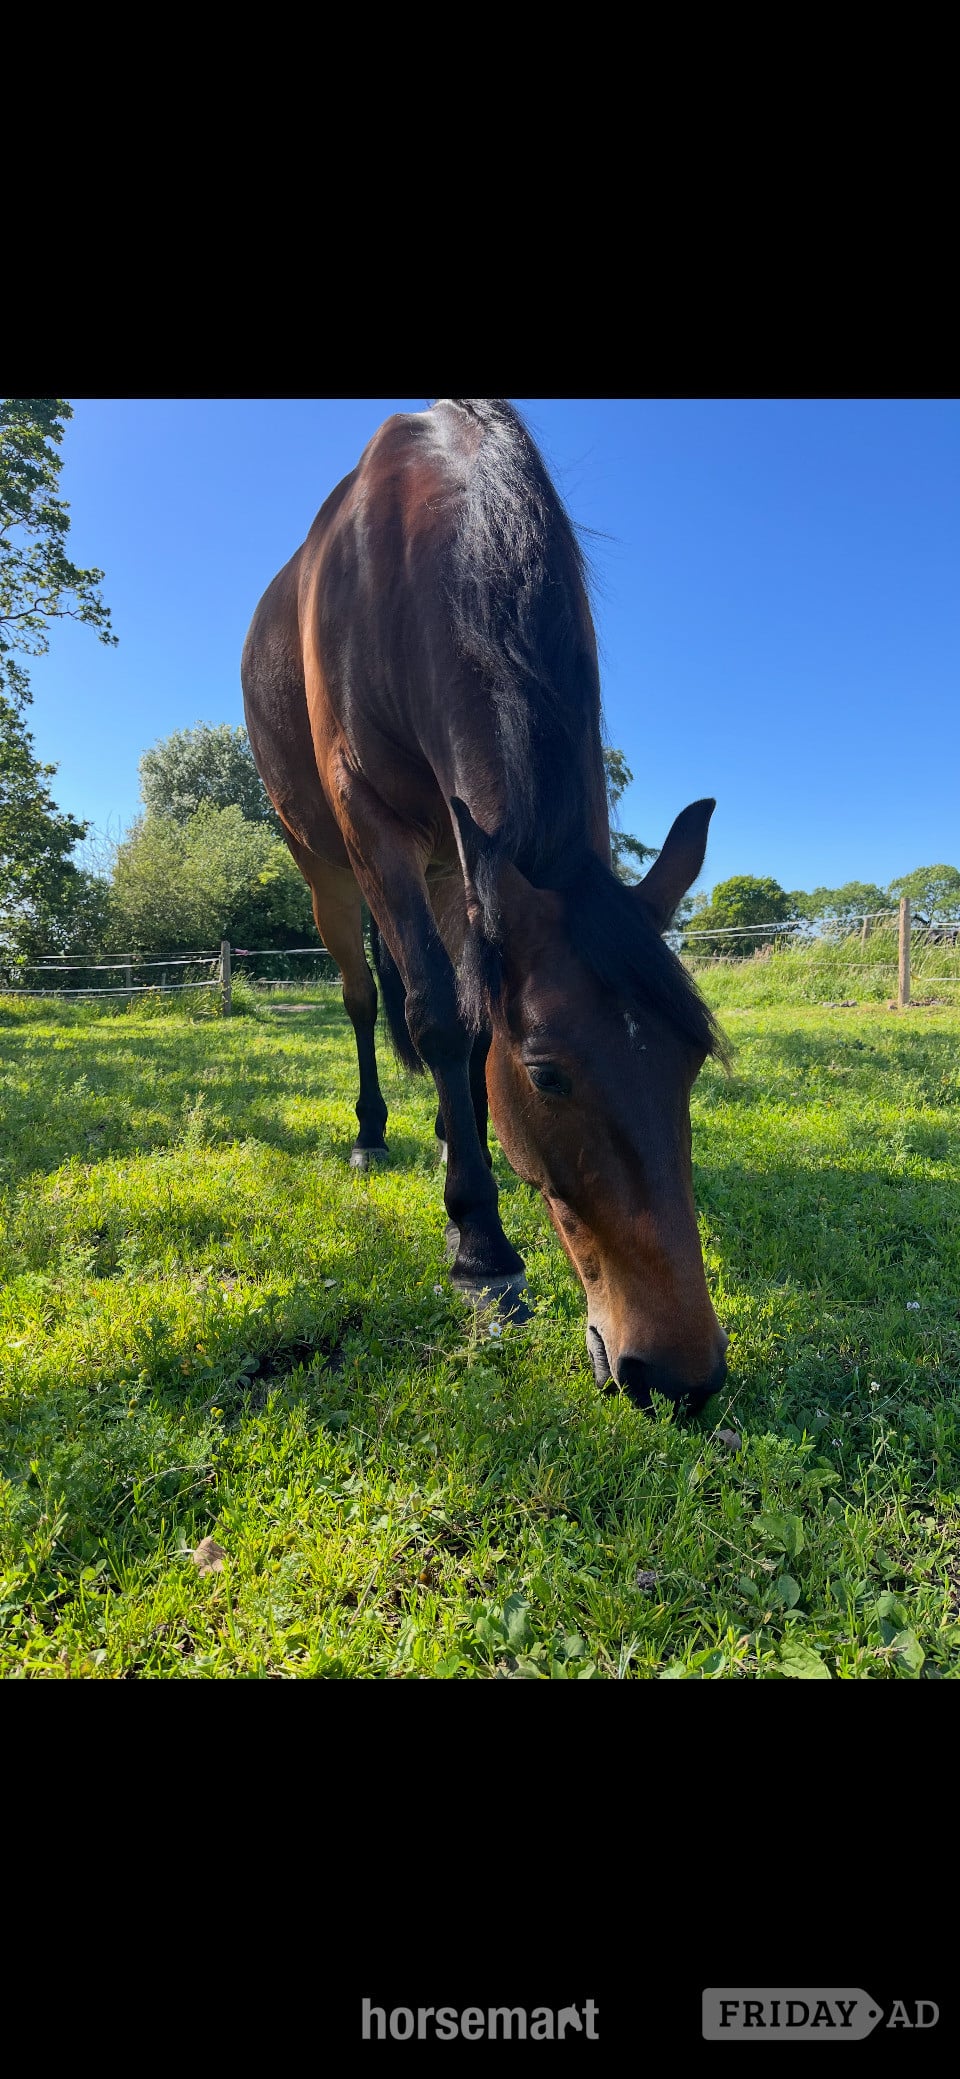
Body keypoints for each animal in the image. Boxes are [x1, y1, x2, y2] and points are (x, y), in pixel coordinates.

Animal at [241, 399, 728, 1412]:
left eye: (693, 1060)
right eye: (547, 1074)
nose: (681, 1374)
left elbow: (467, 1021)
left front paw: (467, 1171)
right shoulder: (369, 820)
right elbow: (432, 1011)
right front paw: (480, 1248)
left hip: (443, 864)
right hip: (324, 865)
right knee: (368, 998)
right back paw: (377, 1133)